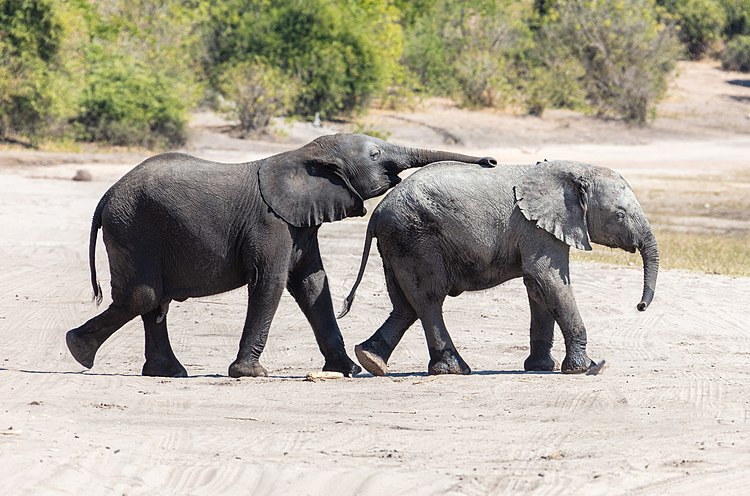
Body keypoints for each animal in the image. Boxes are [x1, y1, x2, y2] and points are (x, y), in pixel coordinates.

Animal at [67, 134, 496, 378]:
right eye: (375, 154)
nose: (491, 161)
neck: (302, 155)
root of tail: (106, 196)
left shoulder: (300, 223)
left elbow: (313, 286)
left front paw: (349, 370)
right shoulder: (271, 222)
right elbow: (270, 283)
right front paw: (250, 373)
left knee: (154, 302)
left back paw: (167, 373)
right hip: (134, 229)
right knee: (143, 296)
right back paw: (79, 351)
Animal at [338, 161, 660, 374]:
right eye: (620, 215)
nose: (640, 306)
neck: (572, 169)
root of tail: (376, 211)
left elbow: (538, 288)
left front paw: (540, 368)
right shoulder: (537, 229)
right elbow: (550, 280)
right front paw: (588, 368)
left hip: (397, 245)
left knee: (406, 305)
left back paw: (371, 361)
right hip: (415, 238)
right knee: (428, 300)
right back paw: (454, 369)